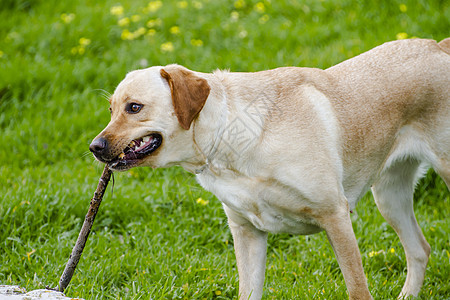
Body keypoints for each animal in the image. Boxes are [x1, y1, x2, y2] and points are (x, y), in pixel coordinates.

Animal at [90, 38, 450, 298]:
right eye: (110, 110)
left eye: (134, 108)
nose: (95, 147)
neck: (229, 134)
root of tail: (437, 45)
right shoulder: (246, 232)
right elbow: (248, 292)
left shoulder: (335, 216)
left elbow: (357, 288)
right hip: (389, 196)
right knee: (419, 250)